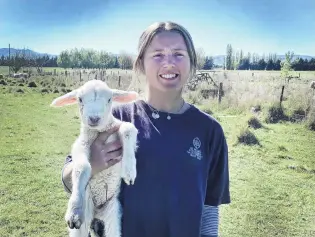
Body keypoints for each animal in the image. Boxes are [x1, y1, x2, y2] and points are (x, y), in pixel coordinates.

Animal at [51, 80, 139, 237]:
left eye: (109, 99)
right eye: (80, 99)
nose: (94, 118)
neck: (99, 131)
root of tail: (98, 212)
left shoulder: (118, 128)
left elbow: (128, 128)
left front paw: (129, 171)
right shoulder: (81, 145)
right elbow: (82, 167)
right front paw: (74, 210)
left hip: (113, 213)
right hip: (86, 211)